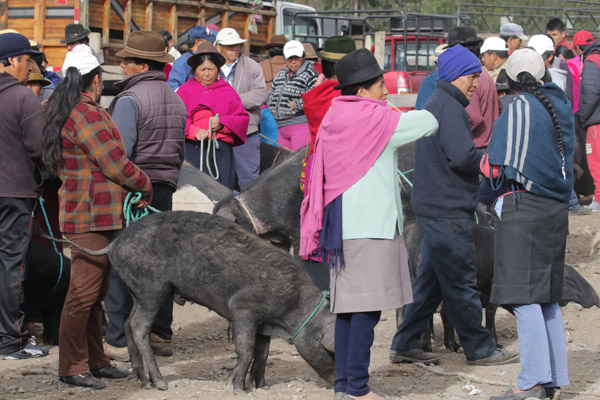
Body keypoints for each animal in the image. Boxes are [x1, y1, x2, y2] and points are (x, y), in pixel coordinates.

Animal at [48, 212, 336, 394]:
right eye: (329, 350)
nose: (336, 383)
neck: (293, 311)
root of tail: (113, 245)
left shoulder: (264, 325)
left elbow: (262, 354)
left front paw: (262, 387)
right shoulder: (242, 309)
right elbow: (245, 351)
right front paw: (239, 389)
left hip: (137, 290)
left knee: (129, 324)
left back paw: (144, 382)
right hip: (152, 289)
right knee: (139, 326)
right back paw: (161, 384)